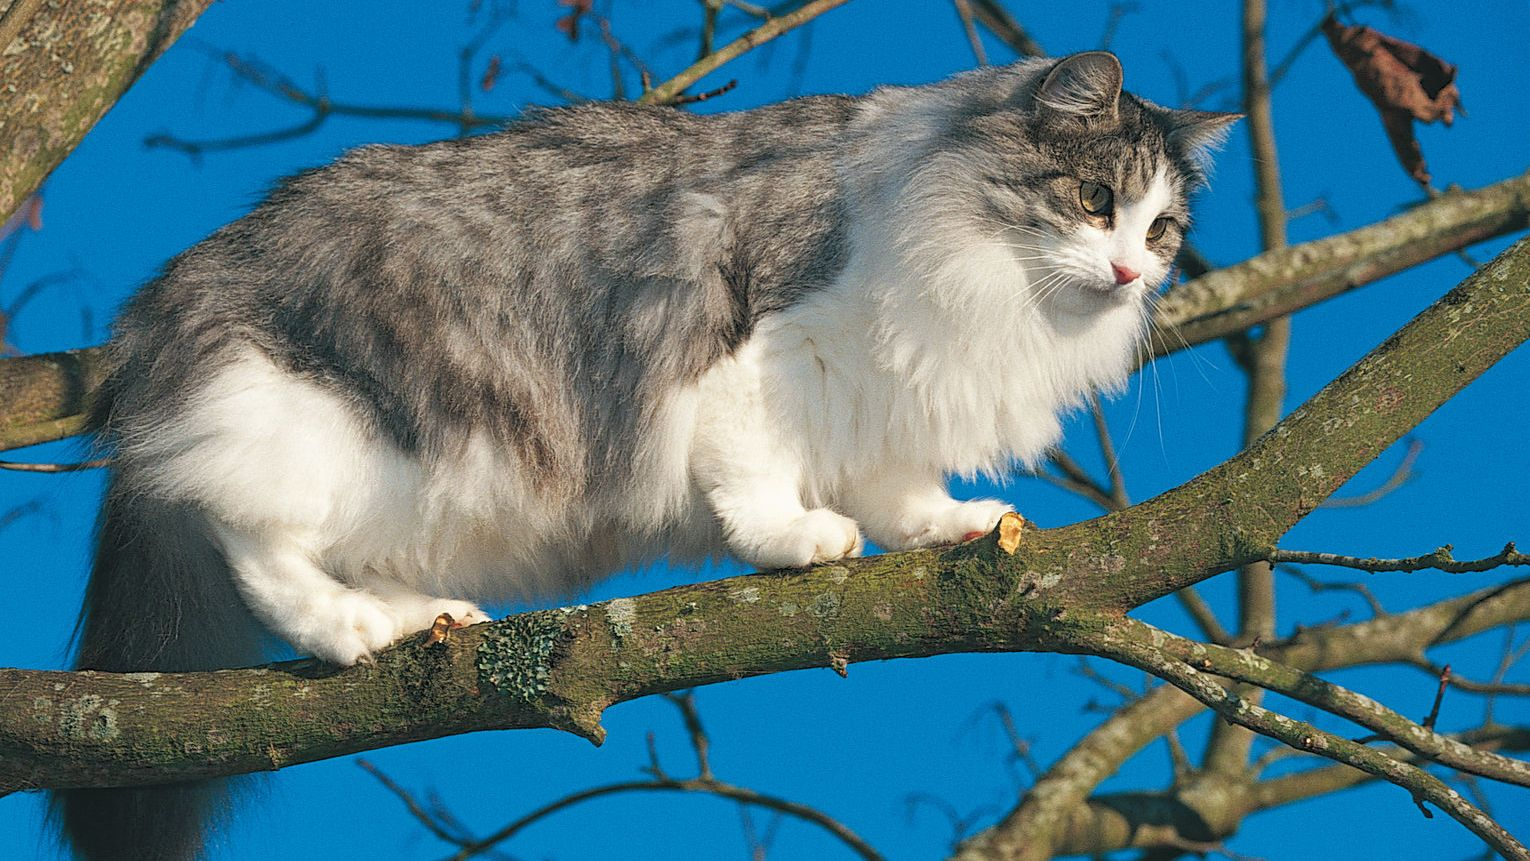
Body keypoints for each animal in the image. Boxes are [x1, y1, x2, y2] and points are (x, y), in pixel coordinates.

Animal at [56, 52, 1230, 861]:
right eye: (1093, 202)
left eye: (1163, 230)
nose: (1131, 274)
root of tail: (165, 305)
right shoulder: (771, 347)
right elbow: (754, 466)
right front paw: (792, 538)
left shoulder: (883, 402)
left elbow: (900, 491)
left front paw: (956, 526)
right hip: (320, 426)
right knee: (251, 541)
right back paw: (353, 629)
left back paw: (416, 618)